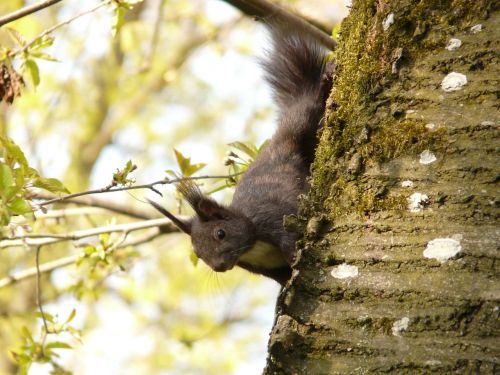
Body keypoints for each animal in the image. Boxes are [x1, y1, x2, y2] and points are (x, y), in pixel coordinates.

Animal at [150, 25, 334, 286]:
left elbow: (291, 242)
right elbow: (282, 280)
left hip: (299, 123)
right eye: (197, 252)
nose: (218, 267)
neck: (253, 246)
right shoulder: (266, 269)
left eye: (220, 233)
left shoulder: (275, 218)